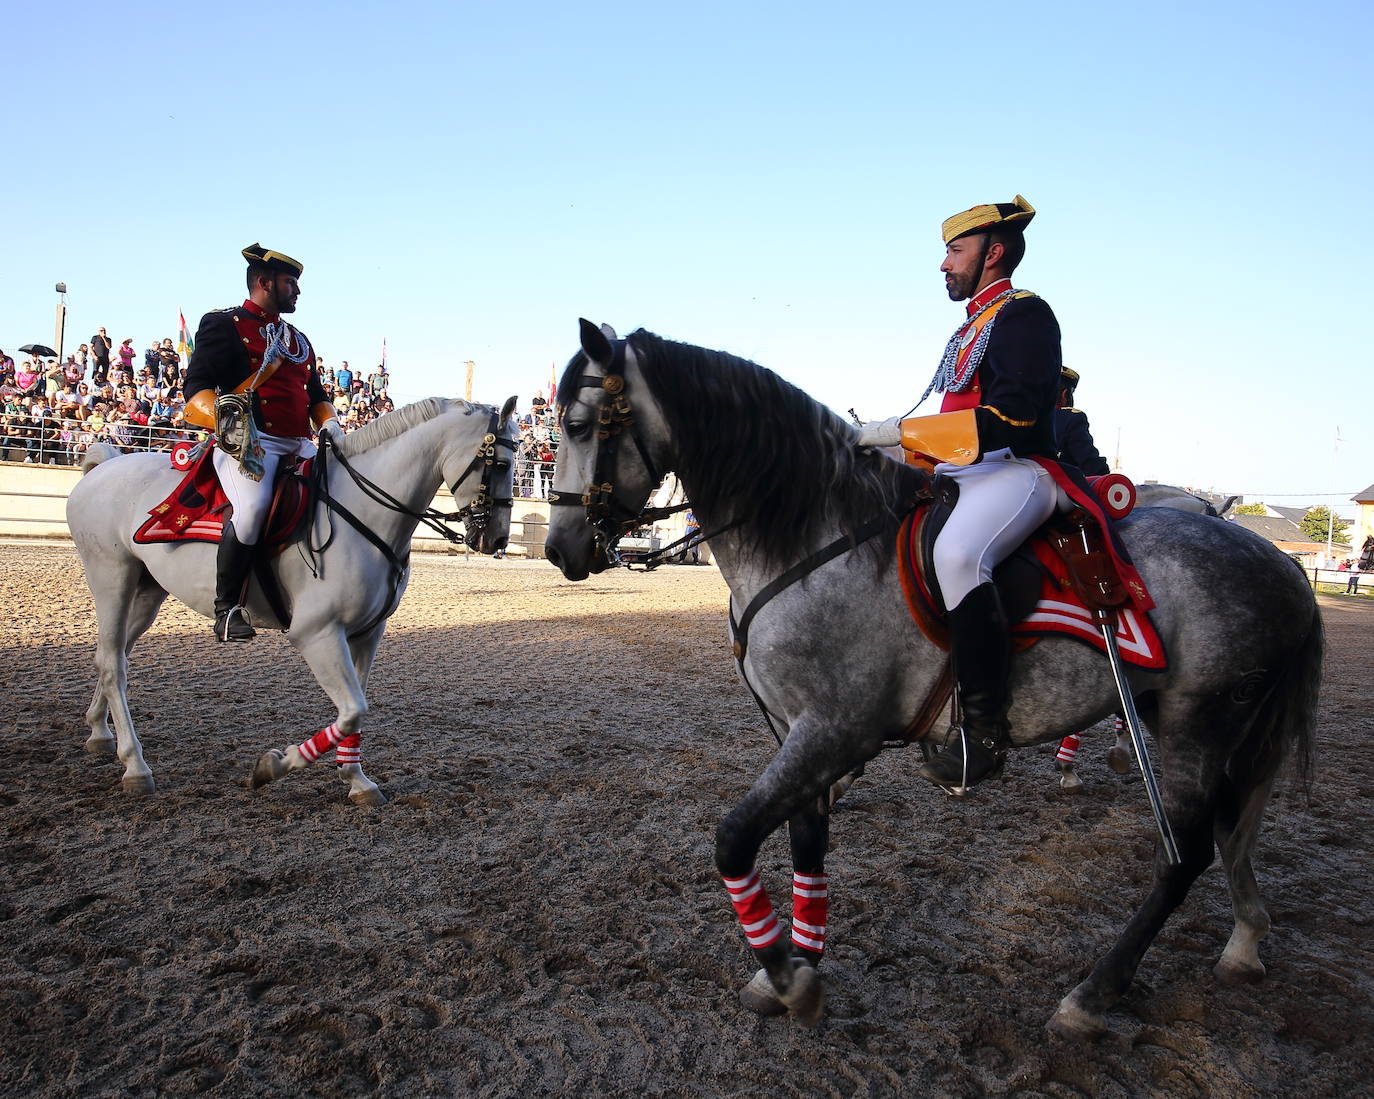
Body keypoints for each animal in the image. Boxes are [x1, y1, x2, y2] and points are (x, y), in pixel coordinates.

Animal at [65, 398, 516, 807]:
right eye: (499, 464)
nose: (496, 540)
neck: (363, 511)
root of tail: (101, 469)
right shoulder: (316, 633)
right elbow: (352, 709)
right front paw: (273, 766)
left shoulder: (367, 633)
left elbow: (356, 709)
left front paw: (357, 780)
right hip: (112, 579)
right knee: (114, 664)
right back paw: (135, 766)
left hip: (146, 593)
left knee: (111, 657)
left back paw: (99, 732)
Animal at [538, 324, 1319, 1038]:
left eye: (575, 424)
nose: (558, 548)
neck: (812, 539)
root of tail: (1281, 564)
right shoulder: (800, 735)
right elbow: (807, 843)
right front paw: (801, 964)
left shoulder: (834, 731)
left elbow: (733, 838)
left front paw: (789, 977)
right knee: (1230, 833)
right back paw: (1245, 939)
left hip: (1197, 724)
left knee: (1184, 856)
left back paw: (1091, 995)